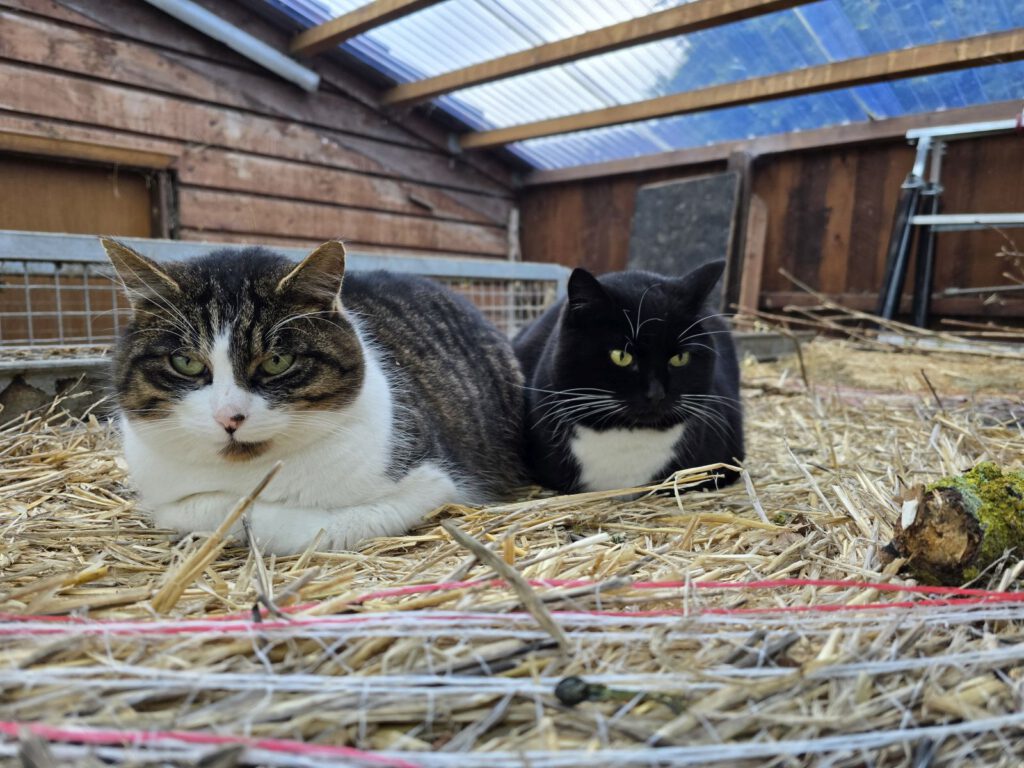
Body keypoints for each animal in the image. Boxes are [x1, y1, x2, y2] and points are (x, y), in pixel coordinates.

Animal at [103, 239, 524, 552]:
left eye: (277, 361)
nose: (229, 417)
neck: (252, 473)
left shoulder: (432, 482)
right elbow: (192, 508)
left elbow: (307, 526)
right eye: (186, 362)